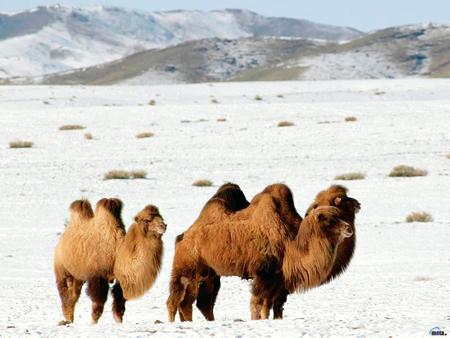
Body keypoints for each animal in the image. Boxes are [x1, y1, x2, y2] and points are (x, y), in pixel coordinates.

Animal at [165, 182, 352, 322]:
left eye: (339, 215)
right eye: (328, 219)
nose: (348, 228)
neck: (290, 244)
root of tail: (182, 236)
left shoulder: (277, 278)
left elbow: (270, 306)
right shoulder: (263, 273)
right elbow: (257, 303)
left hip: (209, 274)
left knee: (198, 303)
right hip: (186, 267)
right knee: (175, 300)